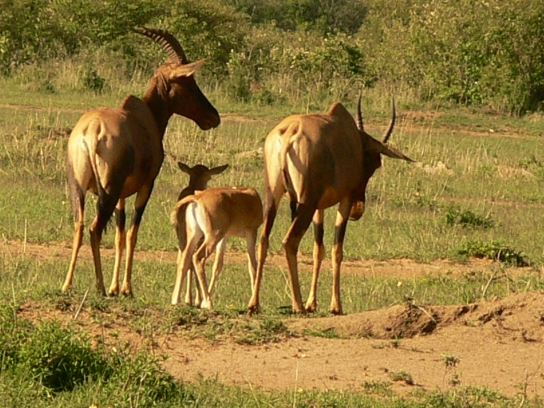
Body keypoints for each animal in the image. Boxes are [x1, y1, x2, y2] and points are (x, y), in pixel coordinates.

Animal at [62, 27, 220, 297]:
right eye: (188, 81)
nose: (213, 117)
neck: (144, 115)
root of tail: (92, 132)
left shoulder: (122, 196)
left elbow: (119, 234)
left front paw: (116, 287)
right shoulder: (146, 187)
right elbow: (133, 233)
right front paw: (126, 288)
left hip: (80, 187)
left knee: (79, 225)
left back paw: (67, 284)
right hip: (108, 191)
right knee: (94, 229)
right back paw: (100, 287)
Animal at [175, 161, 229, 305]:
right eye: (209, 177)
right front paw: (198, 299)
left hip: (183, 235)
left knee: (185, 259)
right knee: (193, 259)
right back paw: (194, 299)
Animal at [247, 94, 414, 315]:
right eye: (375, 163)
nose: (357, 210)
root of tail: (290, 132)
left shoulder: (319, 207)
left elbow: (318, 249)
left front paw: (313, 303)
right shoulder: (344, 199)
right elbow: (337, 249)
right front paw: (335, 306)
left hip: (274, 196)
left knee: (264, 239)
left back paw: (255, 304)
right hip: (306, 204)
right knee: (290, 241)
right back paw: (298, 306)